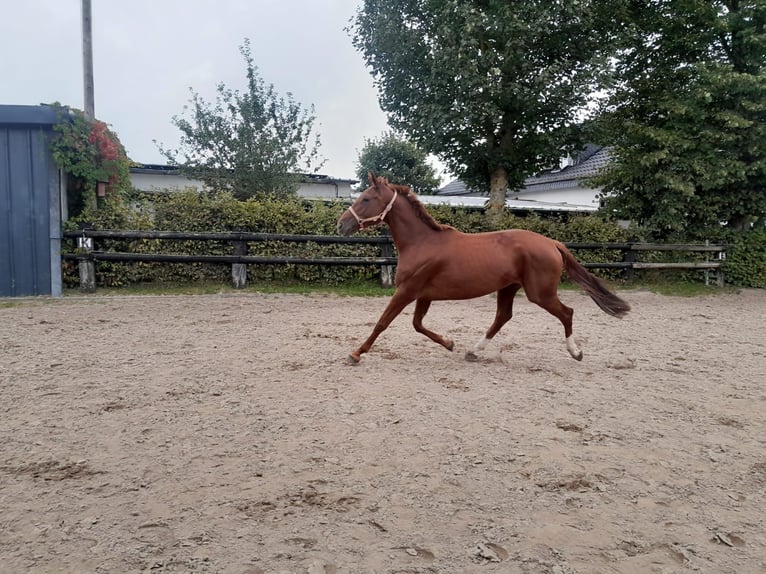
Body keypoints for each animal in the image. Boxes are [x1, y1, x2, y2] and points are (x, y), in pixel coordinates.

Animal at [336, 174, 632, 364]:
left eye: (366, 199)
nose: (341, 225)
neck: (421, 242)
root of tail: (552, 242)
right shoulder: (423, 294)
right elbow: (417, 324)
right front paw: (450, 343)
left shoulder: (407, 290)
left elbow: (383, 322)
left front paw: (355, 354)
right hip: (509, 287)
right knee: (503, 317)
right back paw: (474, 352)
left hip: (540, 293)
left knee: (566, 313)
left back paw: (576, 353)